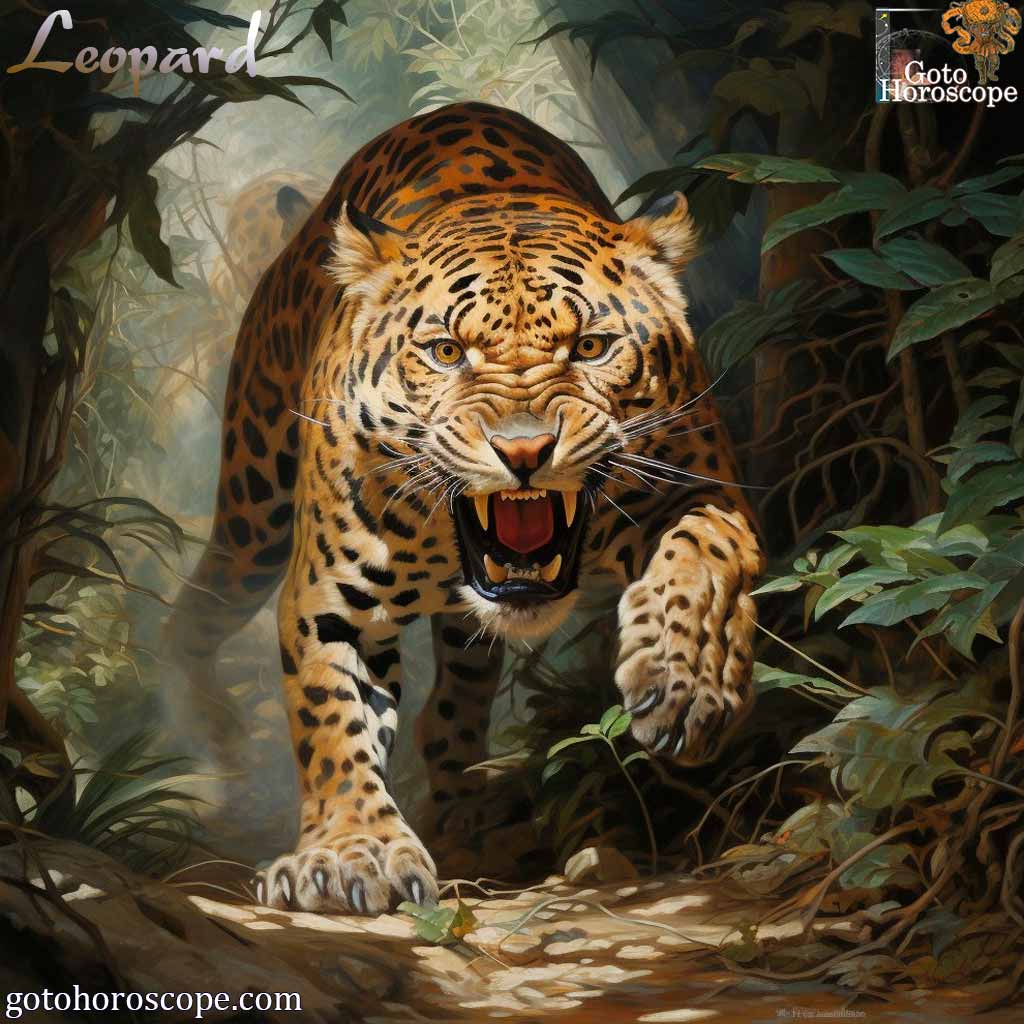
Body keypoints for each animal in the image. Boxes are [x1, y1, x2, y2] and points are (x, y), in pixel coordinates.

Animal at [167, 101, 765, 915]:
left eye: (592, 347)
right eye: (446, 352)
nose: (524, 449)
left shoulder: (701, 487)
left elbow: (703, 562)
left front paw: (684, 683)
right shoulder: (326, 599)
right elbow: (331, 717)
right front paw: (350, 852)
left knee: (455, 698)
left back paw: (466, 808)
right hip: (253, 514)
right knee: (195, 613)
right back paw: (210, 735)